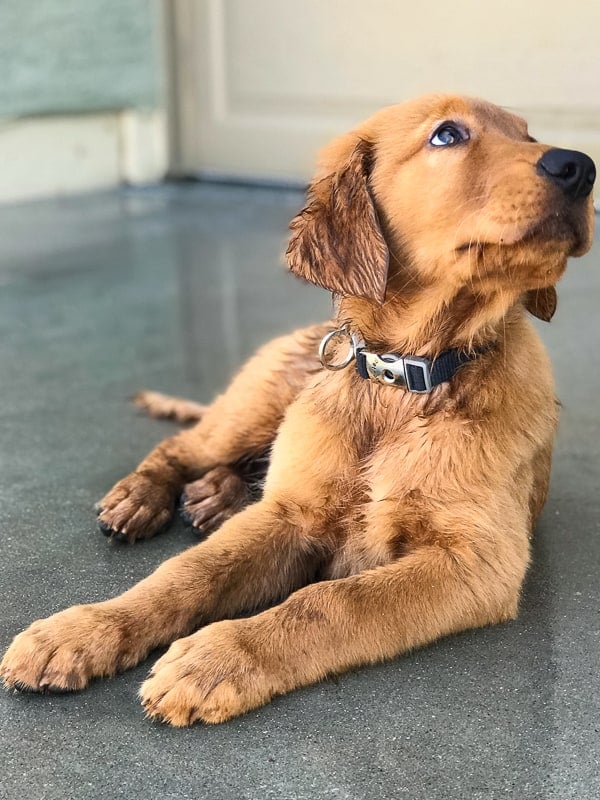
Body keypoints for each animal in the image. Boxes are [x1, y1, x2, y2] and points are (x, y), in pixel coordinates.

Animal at [0, 94, 592, 724]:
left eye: (529, 134)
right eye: (447, 134)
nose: (580, 167)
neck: (404, 379)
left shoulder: (477, 560)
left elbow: (331, 601)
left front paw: (217, 658)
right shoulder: (291, 516)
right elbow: (188, 573)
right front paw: (82, 629)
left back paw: (216, 497)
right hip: (252, 410)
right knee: (184, 446)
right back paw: (144, 496)